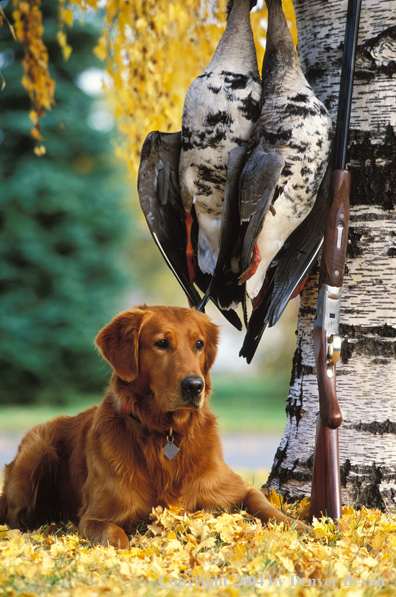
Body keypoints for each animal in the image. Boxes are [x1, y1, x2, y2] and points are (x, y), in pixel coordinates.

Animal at [0, 304, 306, 548]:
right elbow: (113, 532)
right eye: (161, 343)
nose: (195, 386)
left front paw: (300, 526)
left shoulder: (236, 489)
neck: (166, 433)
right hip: (37, 452)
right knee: (15, 522)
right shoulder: (96, 516)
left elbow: (265, 506)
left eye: (198, 344)